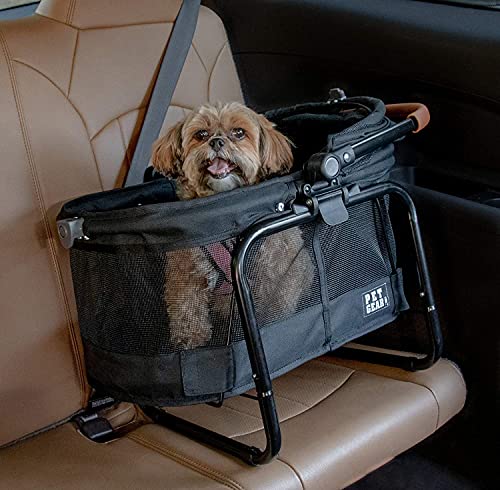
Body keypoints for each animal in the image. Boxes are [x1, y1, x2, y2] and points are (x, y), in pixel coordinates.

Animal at [152, 102, 314, 350]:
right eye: (201, 134)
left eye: (239, 132)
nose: (217, 142)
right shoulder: (185, 273)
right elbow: (186, 308)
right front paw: (190, 339)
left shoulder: (282, 269)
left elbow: (279, 304)